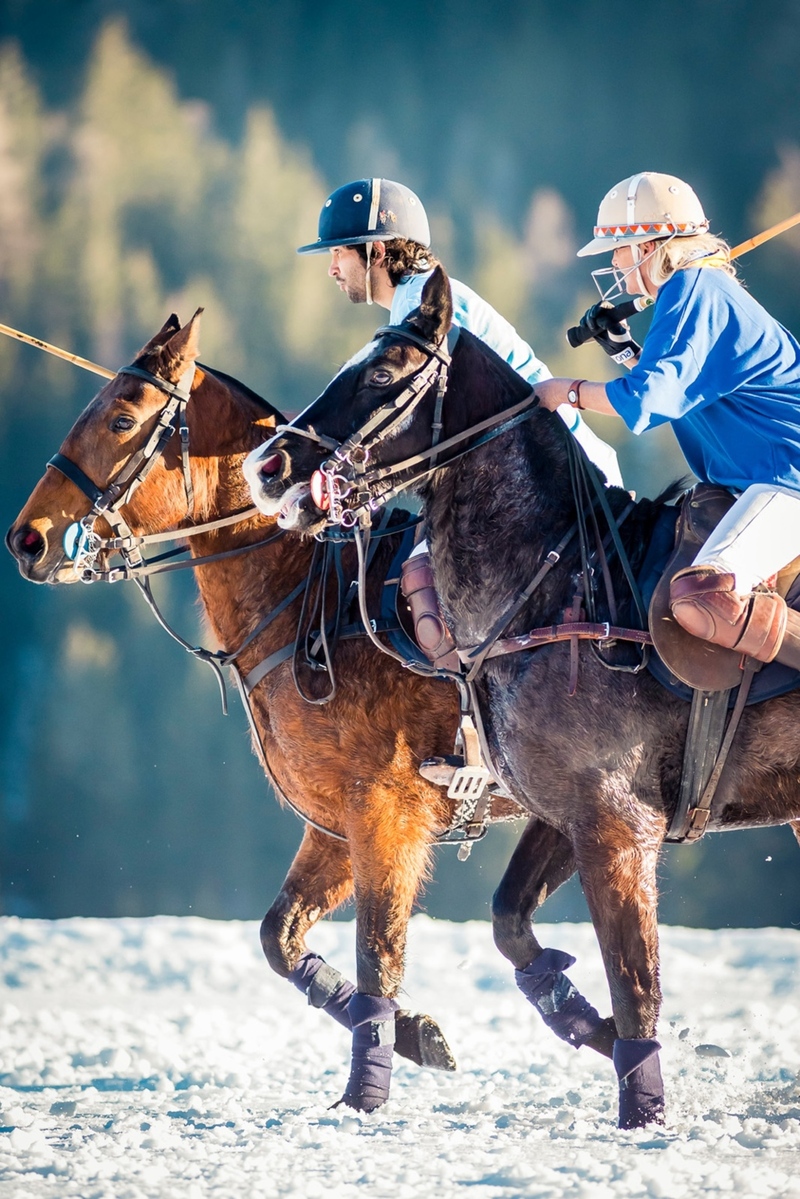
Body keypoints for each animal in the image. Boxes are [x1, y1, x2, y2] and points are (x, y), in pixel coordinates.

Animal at [6, 311, 609, 1112]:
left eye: (122, 418)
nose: (27, 538)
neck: (304, 606)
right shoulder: (332, 823)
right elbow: (280, 937)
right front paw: (416, 1033)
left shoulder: (387, 814)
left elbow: (380, 946)